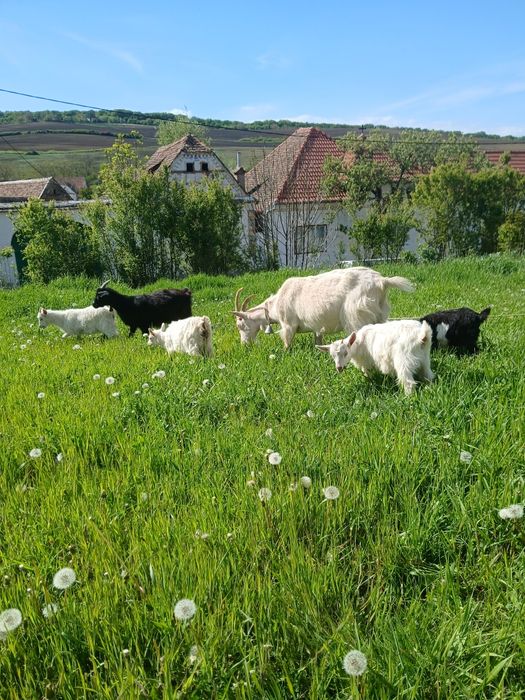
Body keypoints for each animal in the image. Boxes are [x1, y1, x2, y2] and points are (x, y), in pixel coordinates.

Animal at [233, 267, 414, 349]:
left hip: (357, 314)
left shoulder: (288, 324)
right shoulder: (316, 326)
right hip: (380, 314)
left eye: (240, 323)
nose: (244, 344)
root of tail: (382, 282)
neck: (275, 305)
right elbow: (317, 339)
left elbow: (287, 342)